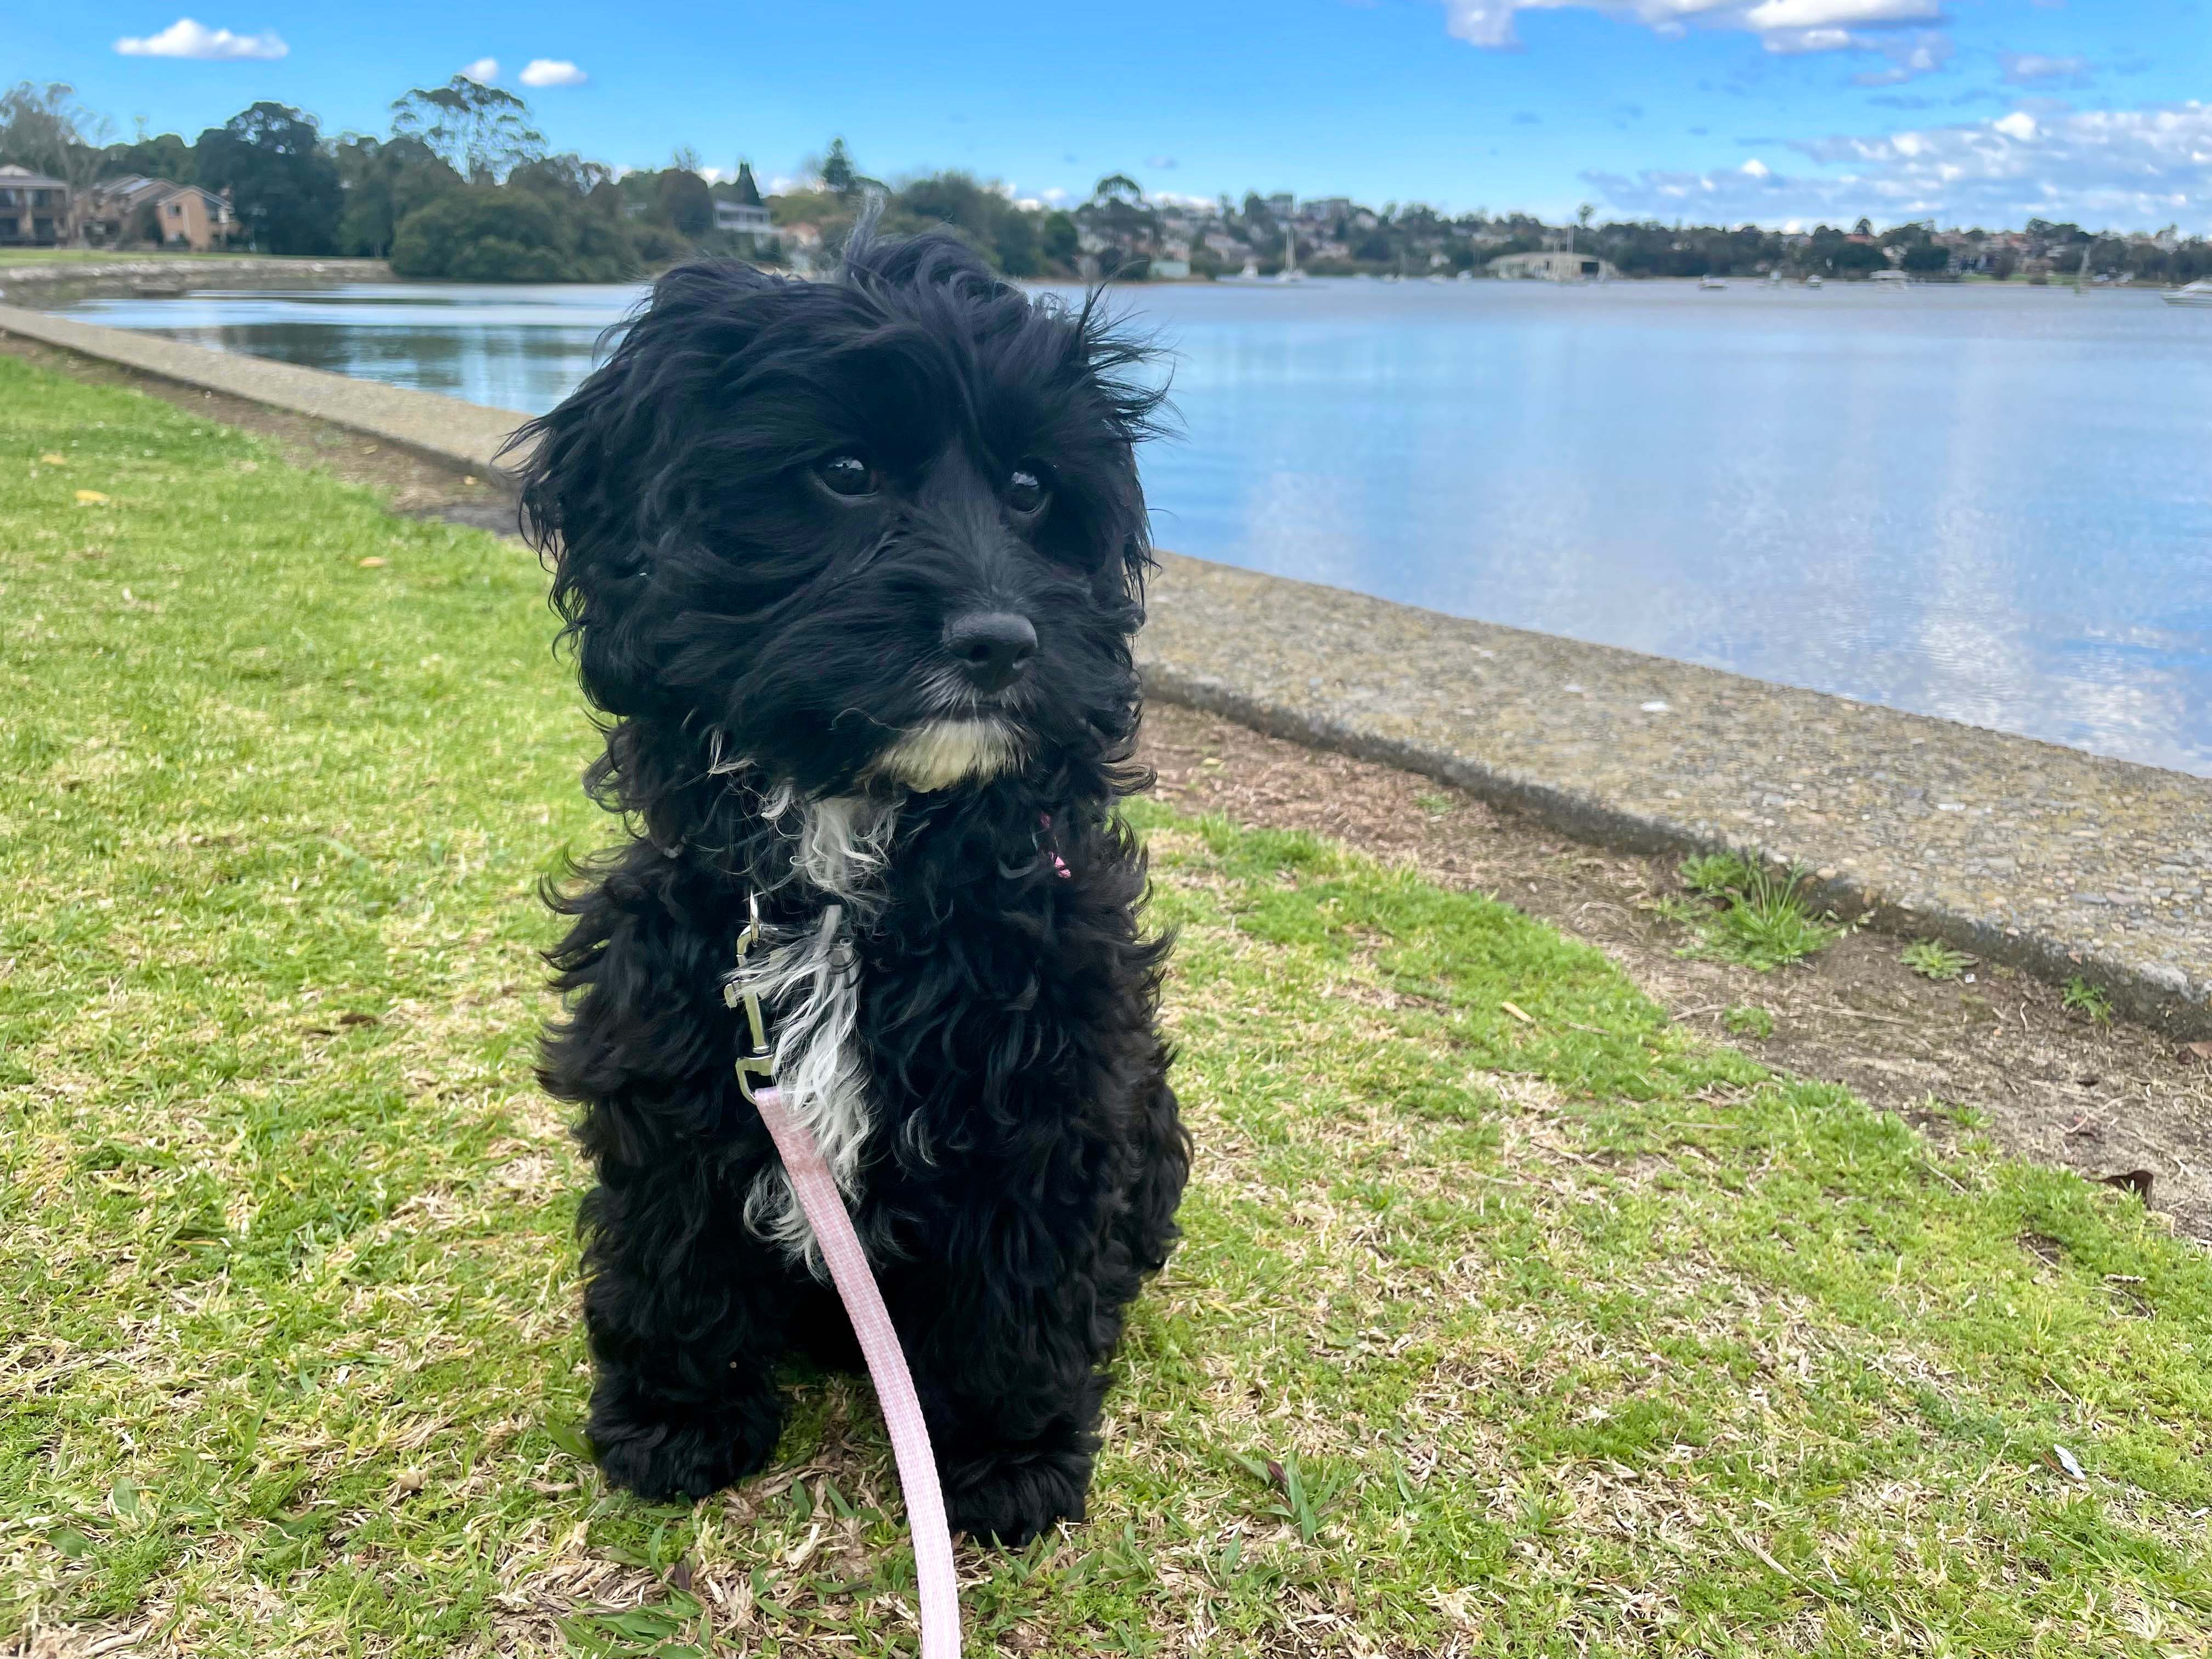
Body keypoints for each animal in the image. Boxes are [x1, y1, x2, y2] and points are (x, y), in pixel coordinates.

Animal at [509, 228, 1194, 1557]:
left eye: (1030, 490)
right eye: (844, 471)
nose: (1000, 641)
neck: (853, 868)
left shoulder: (1050, 1087)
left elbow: (1021, 1282)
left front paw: (1007, 1455)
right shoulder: (673, 1052)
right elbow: (672, 1244)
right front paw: (676, 1417)